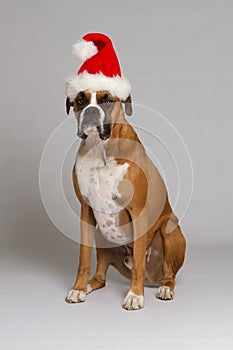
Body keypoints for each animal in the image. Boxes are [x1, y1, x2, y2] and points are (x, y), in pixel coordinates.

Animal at [64, 91, 187, 312]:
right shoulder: (86, 211)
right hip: (101, 235)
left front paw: (135, 296)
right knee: (101, 277)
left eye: (107, 100)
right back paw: (88, 285)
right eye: (80, 100)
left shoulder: (138, 211)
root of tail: (152, 277)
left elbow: (138, 261)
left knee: (169, 274)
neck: (101, 150)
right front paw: (78, 288)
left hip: (169, 228)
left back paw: (165, 288)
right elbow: (83, 257)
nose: (92, 111)